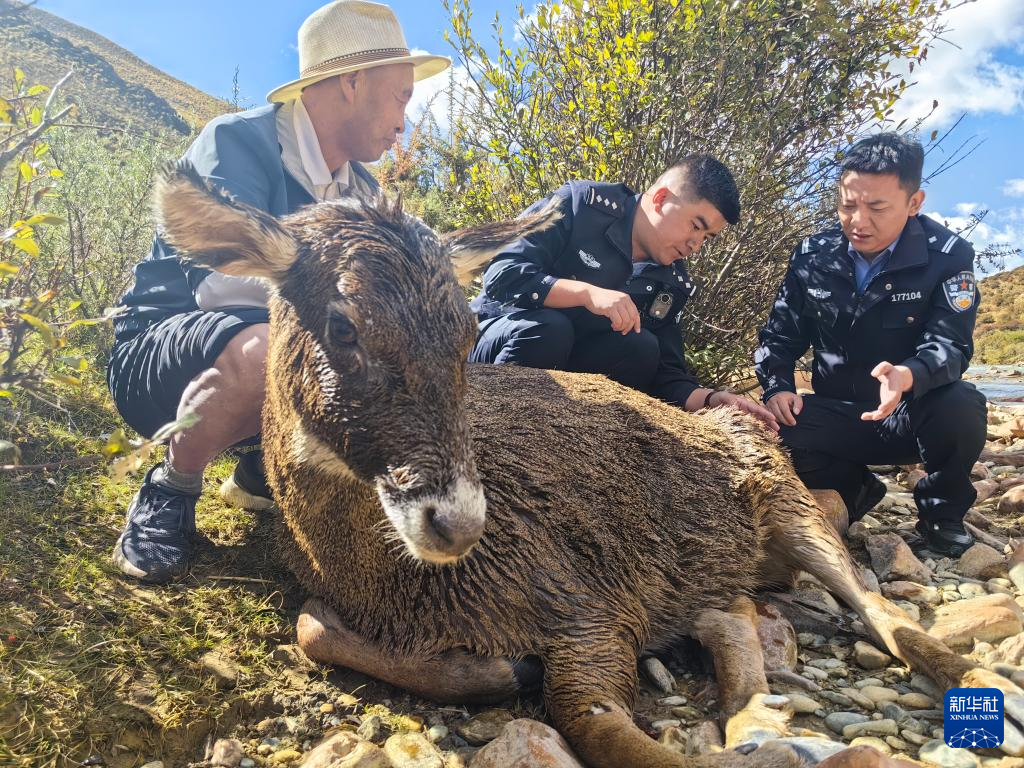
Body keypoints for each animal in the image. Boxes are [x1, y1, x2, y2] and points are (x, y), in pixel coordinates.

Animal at [155, 164, 1024, 767]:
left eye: (463, 329)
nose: (458, 521)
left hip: (785, 497)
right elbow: (311, 628)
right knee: (734, 610)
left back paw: (988, 694)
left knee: (876, 607)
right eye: (343, 325)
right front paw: (495, 668)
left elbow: (599, 727)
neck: (385, 584)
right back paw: (753, 713)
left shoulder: (580, 601)